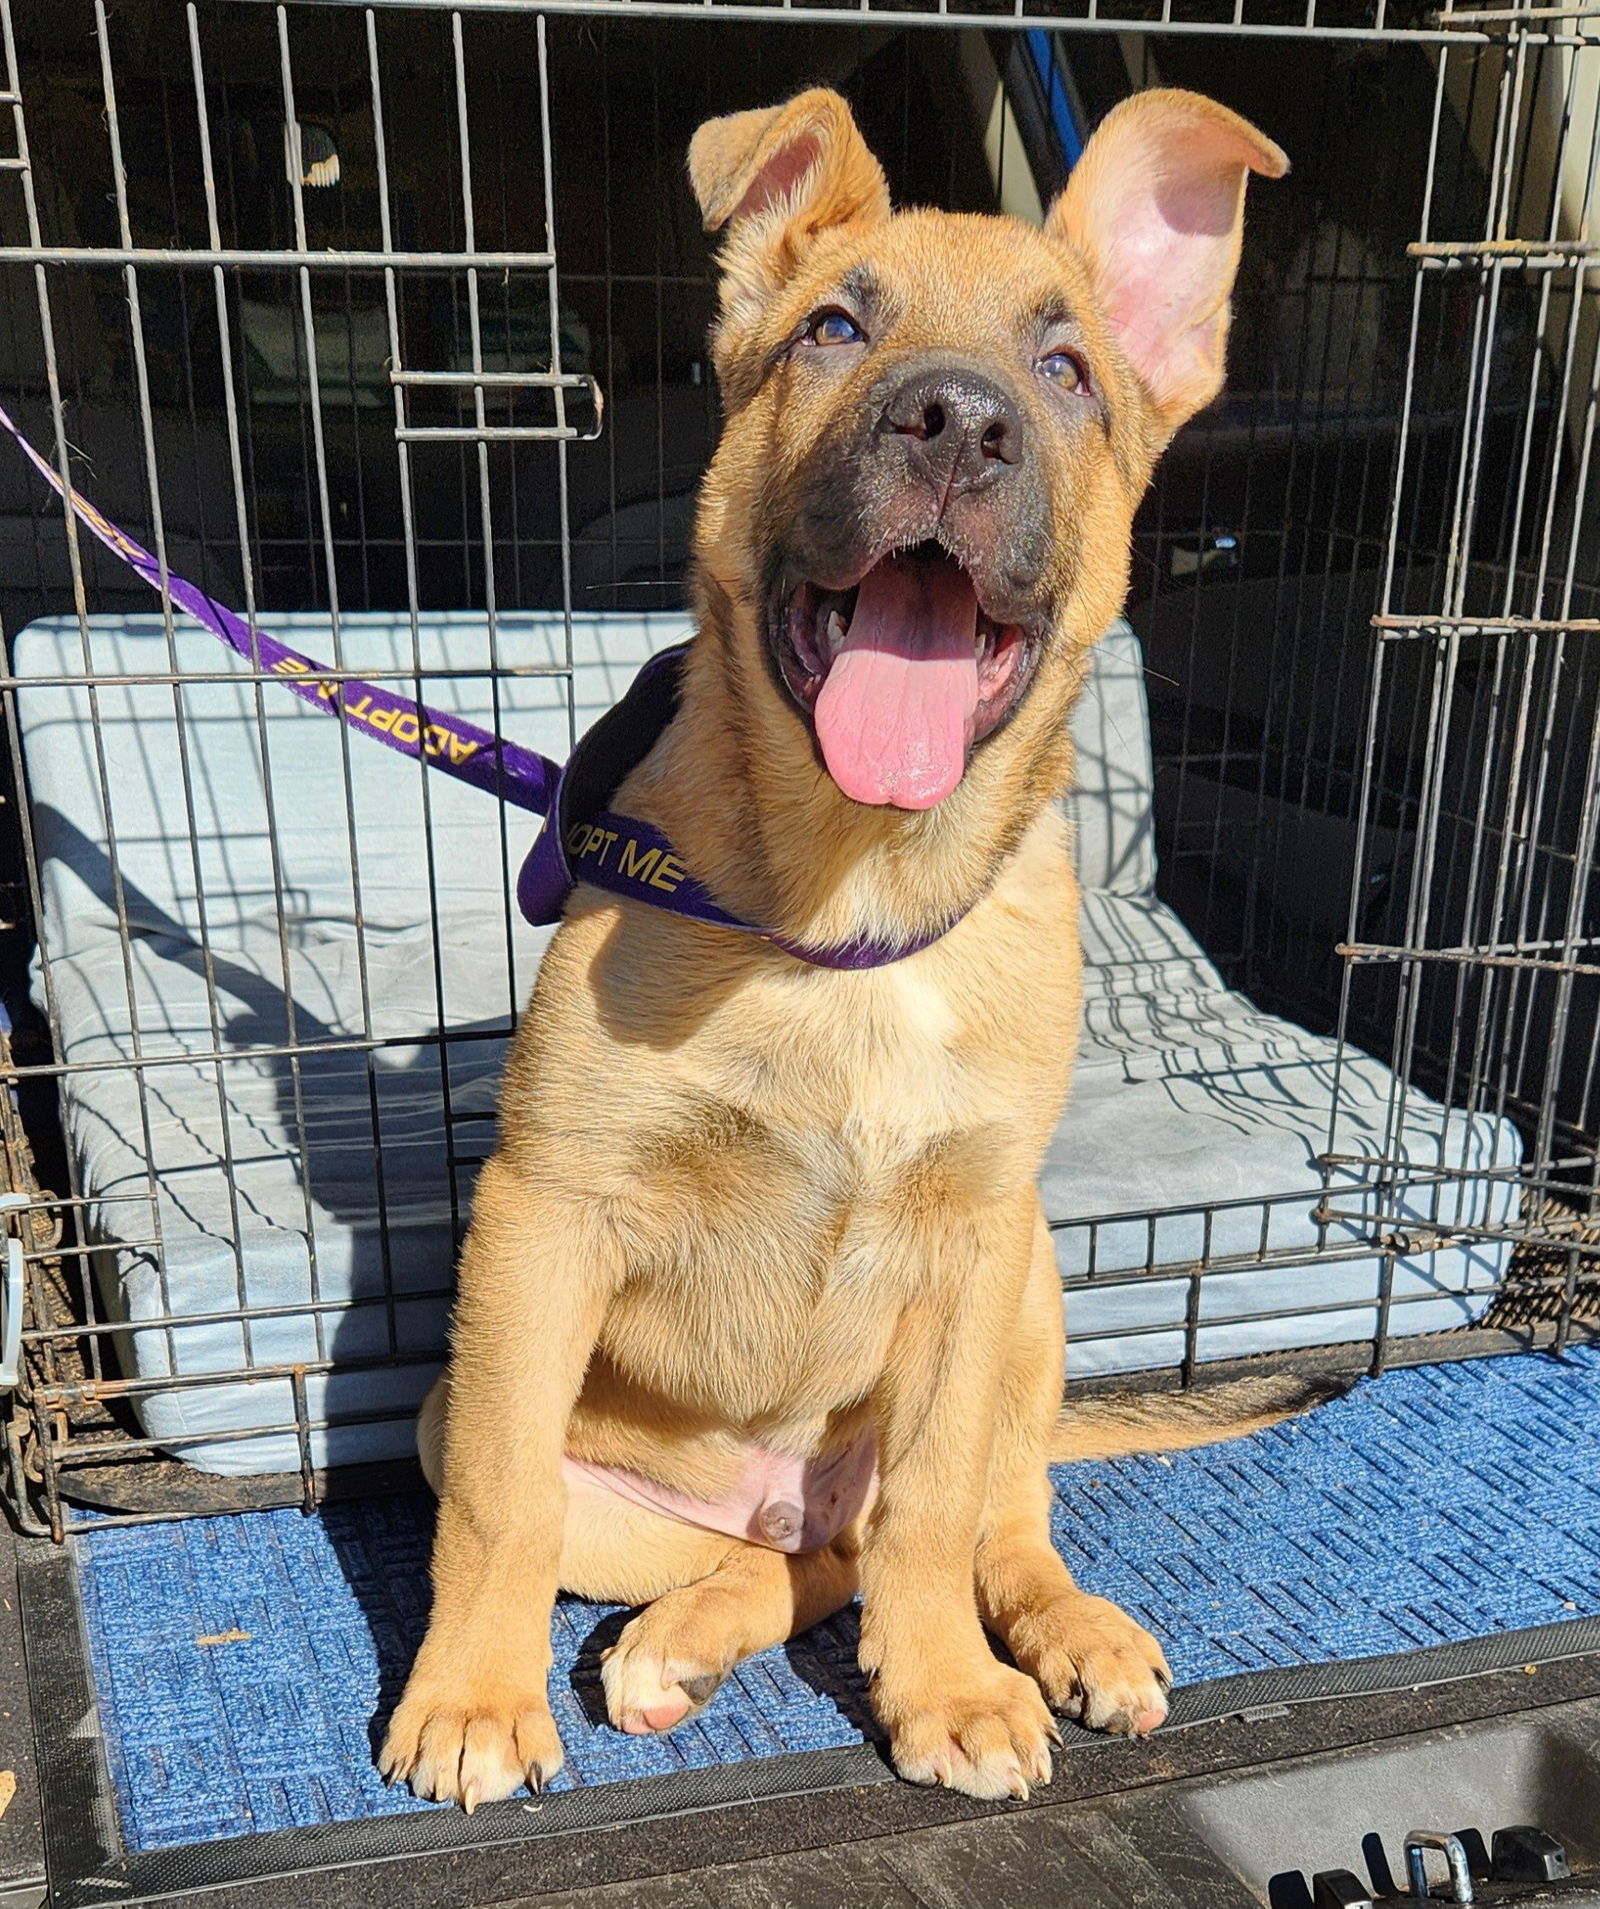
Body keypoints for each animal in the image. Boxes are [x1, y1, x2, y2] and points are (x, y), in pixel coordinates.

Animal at [381, 85, 1298, 1802]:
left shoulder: (972, 1237)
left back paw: (1062, 1630)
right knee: (780, 1556)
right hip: (558, 1444)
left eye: (1065, 370)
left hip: (1031, 1294)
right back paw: (674, 1641)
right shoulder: (543, 1214)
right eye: (832, 331)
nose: (957, 423)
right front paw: (471, 1699)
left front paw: (943, 1686)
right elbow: (497, 1498)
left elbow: (936, 1507)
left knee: (976, 1515)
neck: (851, 905)